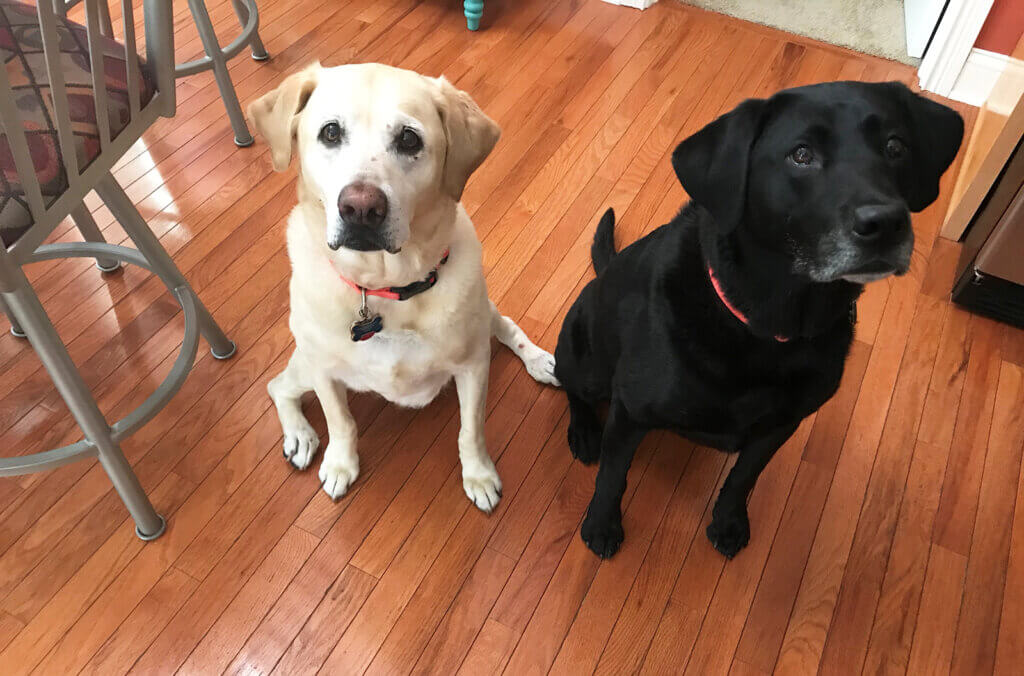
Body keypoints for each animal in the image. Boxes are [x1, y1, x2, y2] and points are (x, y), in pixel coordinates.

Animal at [249, 63, 561, 510]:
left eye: (409, 139)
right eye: (331, 132)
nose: (361, 208)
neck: (385, 288)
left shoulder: (472, 365)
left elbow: (471, 430)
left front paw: (480, 476)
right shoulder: (324, 370)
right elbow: (340, 421)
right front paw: (340, 465)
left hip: (482, 319)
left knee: (506, 325)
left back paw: (537, 359)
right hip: (306, 363)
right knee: (278, 386)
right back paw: (301, 436)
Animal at [552, 79, 958, 557]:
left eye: (896, 147)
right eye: (801, 154)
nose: (886, 222)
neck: (769, 325)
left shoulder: (778, 427)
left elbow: (743, 478)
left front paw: (728, 522)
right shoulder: (631, 411)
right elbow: (613, 477)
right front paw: (601, 525)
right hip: (587, 362)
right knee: (570, 386)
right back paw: (583, 432)